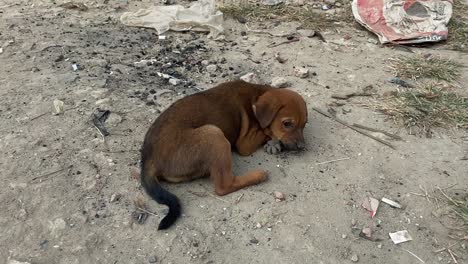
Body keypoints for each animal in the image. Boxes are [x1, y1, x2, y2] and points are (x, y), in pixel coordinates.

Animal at [140, 80, 308, 229]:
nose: (302, 147)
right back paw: (258, 175)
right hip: (214, 134)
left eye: (304, 124)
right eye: (287, 124)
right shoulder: (245, 143)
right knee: (224, 186)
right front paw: (274, 141)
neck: (256, 95)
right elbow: (266, 132)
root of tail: (149, 160)